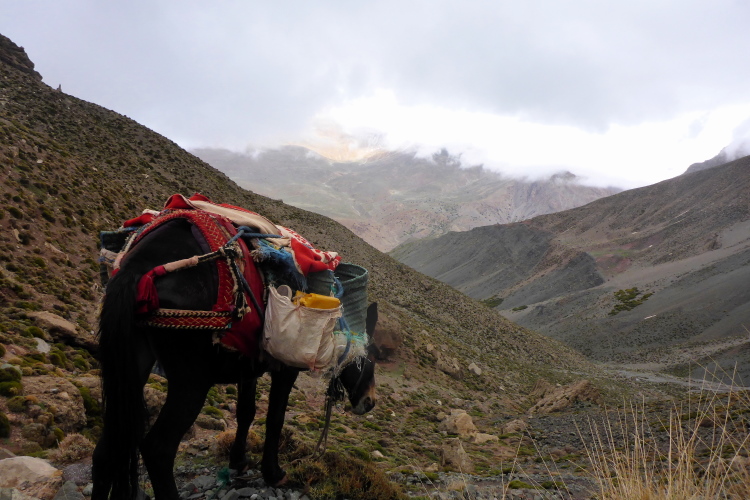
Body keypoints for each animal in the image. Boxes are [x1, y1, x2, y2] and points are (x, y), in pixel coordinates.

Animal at [91, 216, 377, 500]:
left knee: (106, 450)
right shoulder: (285, 370)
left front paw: (238, 461)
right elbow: (275, 419)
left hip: (131, 369)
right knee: (158, 449)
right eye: (370, 358)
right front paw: (273, 473)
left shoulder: (247, 367)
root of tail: (137, 268)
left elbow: (246, 412)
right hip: (191, 381)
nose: (370, 402)